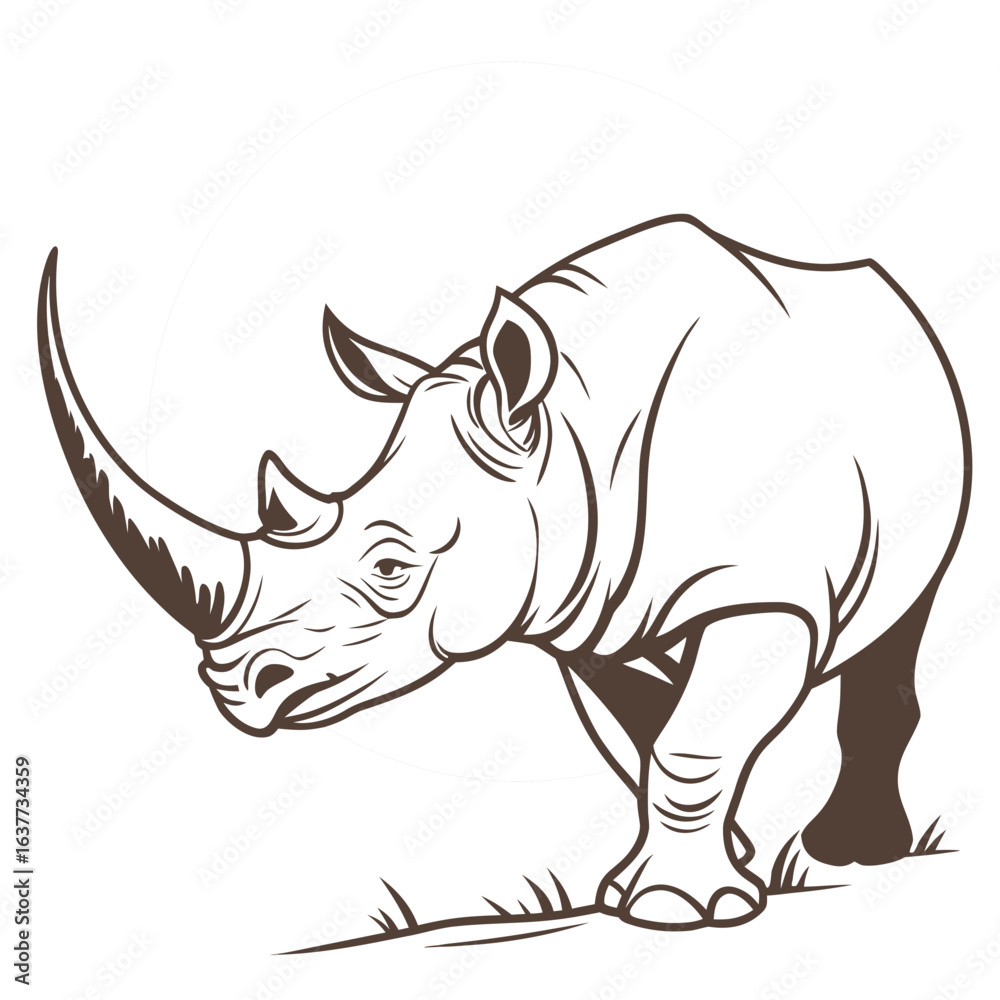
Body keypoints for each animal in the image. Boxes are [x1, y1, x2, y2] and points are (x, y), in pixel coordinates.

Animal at [38, 215, 970, 930]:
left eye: (390, 565)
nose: (234, 685)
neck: (573, 433)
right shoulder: (586, 607)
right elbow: (641, 737)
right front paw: (682, 873)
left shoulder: (762, 591)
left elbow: (691, 743)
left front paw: (677, 910)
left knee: (899, 620)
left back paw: (849, 853)